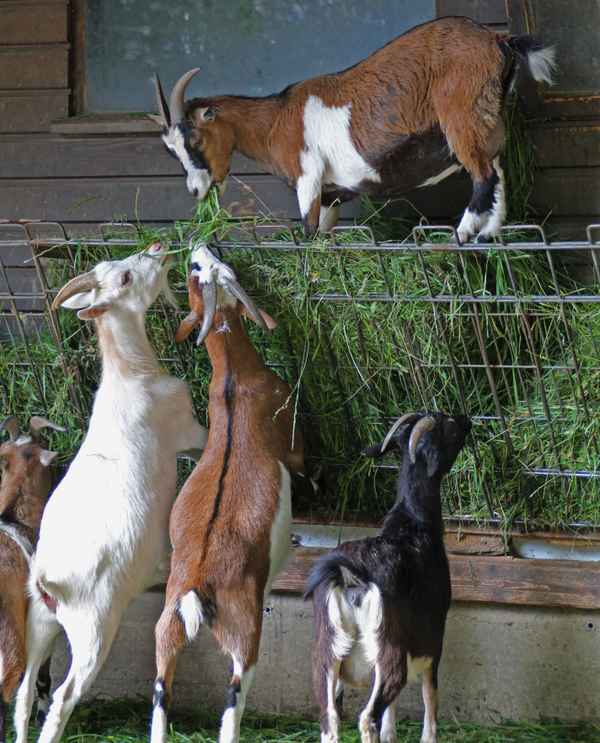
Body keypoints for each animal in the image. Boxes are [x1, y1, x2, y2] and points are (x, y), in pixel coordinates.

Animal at [12, 243, 208, 743]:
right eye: (123, 279)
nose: (157, 249)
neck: (131, 376)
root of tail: (47, 581)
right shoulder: (187, 430)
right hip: (93, 629)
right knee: (60, 699)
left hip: (39, 622)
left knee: (23, 694)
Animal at [149, 244, 305, 743]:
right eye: (199, 271)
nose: (200, 245)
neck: (235, 380)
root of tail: (198, 586)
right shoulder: (293, 439)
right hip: (245, 630)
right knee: (234, 693)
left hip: (167, 625)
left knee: (161, 689)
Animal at [151, 17, 555, 242]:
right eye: (171, 150)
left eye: (194, 138)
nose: (195, 190)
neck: (276, 119)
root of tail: (498, 40)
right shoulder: (331, 194)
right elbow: (326, 235)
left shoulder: (308, 176)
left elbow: (309, 233)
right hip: (486, 121)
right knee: (498, 174)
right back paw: (490, 233)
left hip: (461, 117)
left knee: (484, 175)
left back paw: (464, 231)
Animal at [305, 412, 471, 743]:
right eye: (448, 425)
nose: (467, 420)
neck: (414, 521)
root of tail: (350, 575)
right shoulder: (432, 637)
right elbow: (430, 694)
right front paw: (428, 736)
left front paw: (391, 733)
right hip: (388, 650)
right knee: (368, 716)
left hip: (327, 653)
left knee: (330, 718)